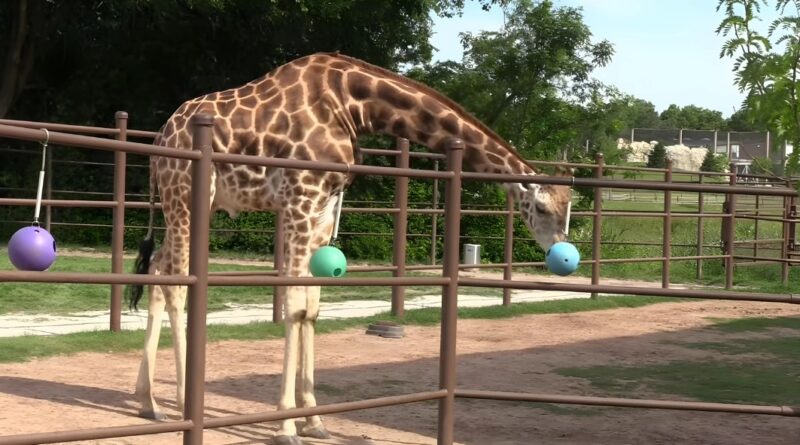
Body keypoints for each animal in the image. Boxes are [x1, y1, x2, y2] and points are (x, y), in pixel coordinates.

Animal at [128, 51, 572, 440]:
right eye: (542, 208)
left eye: (569, 209)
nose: (561, 253)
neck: (354, 106)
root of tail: (161, 138)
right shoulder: (299, 198)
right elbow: (293, 304)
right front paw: (285, 427)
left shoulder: (323, 210)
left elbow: (310, 308)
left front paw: (314, 421)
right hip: (186, 194)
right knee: (177, 281)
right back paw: (182, 402)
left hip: (188, 204)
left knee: (159, 267)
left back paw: (149, 402)